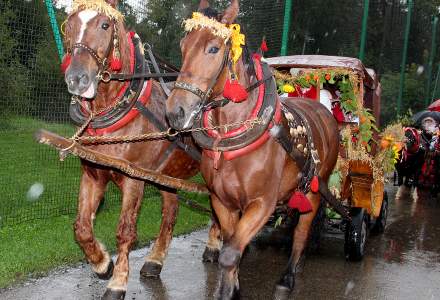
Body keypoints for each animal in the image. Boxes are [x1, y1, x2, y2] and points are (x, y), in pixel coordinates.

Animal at [62, 1, 222, 298]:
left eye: (105, 25)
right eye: (70, 24)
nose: (77, 78)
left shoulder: (134, 179)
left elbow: (125, 230)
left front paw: (117, 282)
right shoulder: (93, 174)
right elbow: (82, 228)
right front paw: (103, 264)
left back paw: (214, 246)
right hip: (168, 174)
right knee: (170, 212)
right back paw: (154, 261)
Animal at [167, 0, 338, 298]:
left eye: (213, 48)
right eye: (183, 44)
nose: (176, 112)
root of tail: (322, 110)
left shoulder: (261, 203)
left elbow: (229, 255)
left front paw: (228, 290)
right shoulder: (222, 200)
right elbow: (231, 245)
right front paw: (234, 285)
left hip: (315, 189)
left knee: (301, 233)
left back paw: (288, 277)